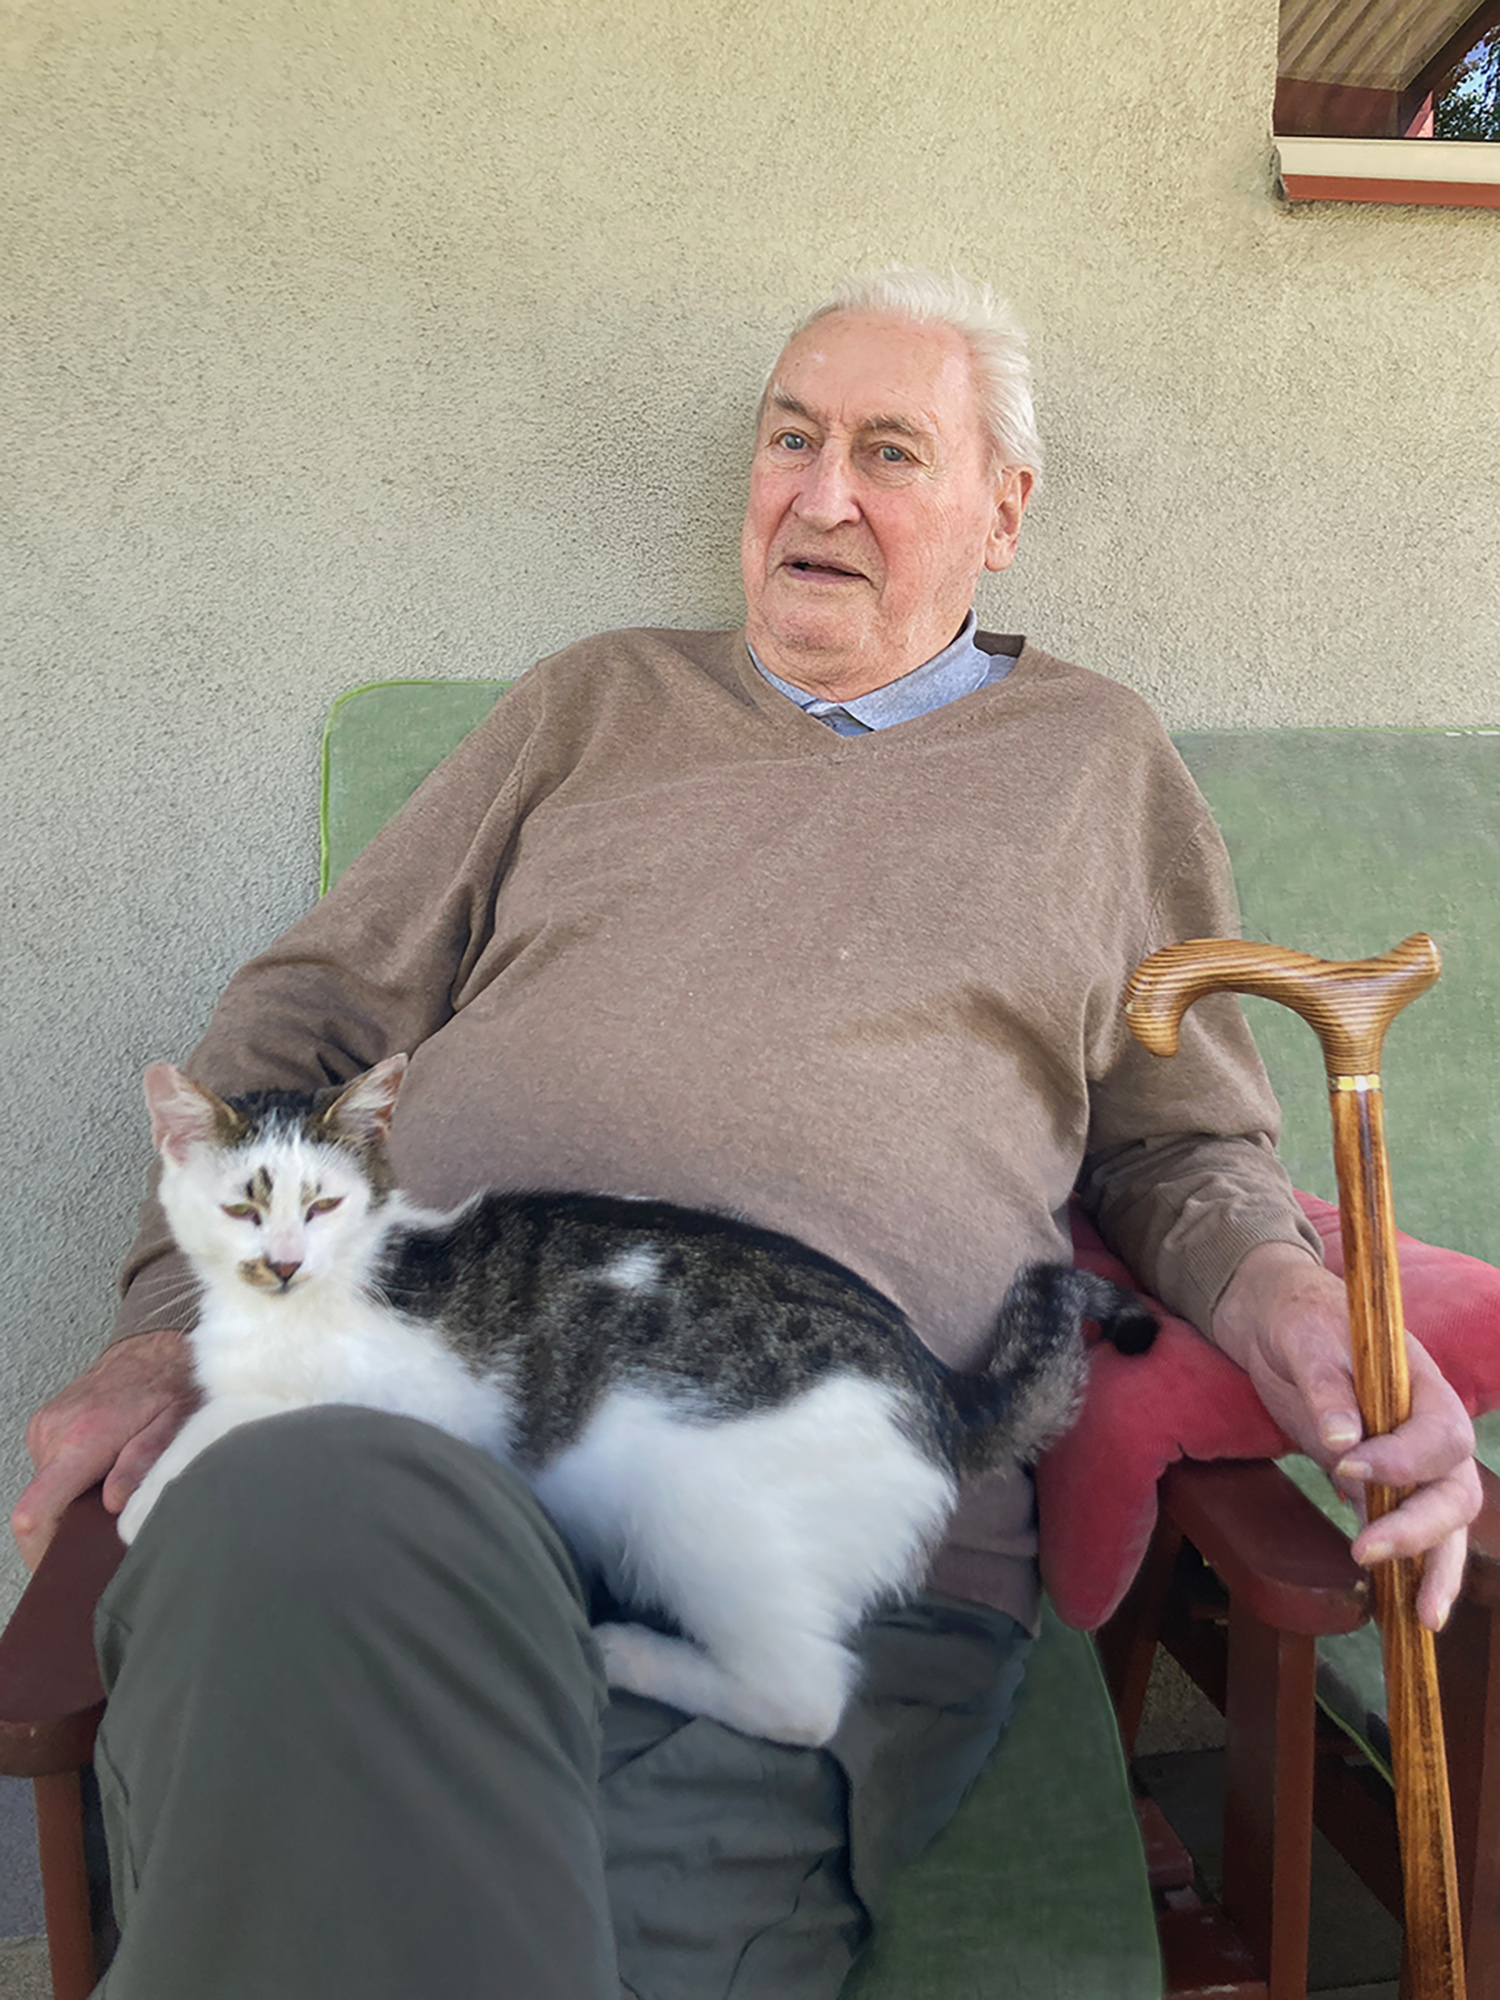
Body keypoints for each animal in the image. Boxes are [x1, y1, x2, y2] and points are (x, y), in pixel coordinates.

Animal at [126, 1056, 1160, 1744]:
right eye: (242, 1209)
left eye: (324, 1204)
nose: (284, 1262)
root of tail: (944, 1390)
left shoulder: (414, 1396)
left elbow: (244, 1415)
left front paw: (147, 1495)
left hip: (692, 1510)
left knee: (805, 1699)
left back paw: (633, 1653)